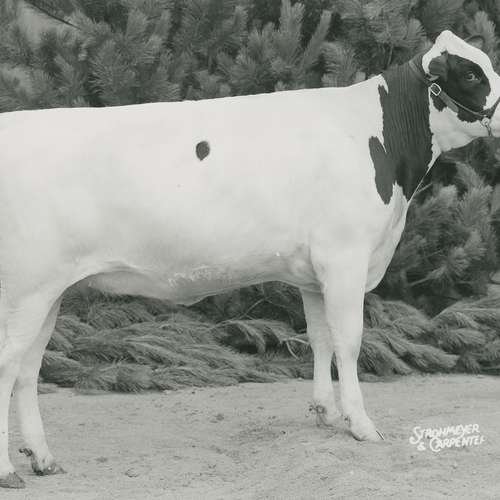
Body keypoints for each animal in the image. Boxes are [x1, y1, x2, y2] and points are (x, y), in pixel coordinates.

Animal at [0, 30, 499, 489]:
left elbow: (320, 338)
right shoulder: (345, 259)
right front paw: (361, 426)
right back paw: (9, 471)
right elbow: (350, 341)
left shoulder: (314, 274)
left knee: (27, 369)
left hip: (50, 291)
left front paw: (326, 414)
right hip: (26, 289)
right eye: (472, 74)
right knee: (9, 364)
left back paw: (43, 459)